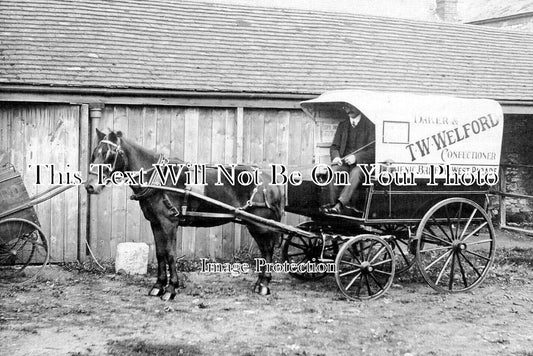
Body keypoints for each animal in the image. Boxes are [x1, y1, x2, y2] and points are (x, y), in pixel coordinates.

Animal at [84, 129, 282, 302]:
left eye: (109, 154)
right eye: (94, 153)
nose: (90, 186)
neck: (159, 179)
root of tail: (269, 179)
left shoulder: (169, 223)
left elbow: (171, 254)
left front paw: (171, 289)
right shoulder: (156, 223)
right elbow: (160, 253)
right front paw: (158, 286)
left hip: (260, 226)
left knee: (267, 251)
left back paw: (264, 284)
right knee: (265, 251)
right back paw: (259, 283)